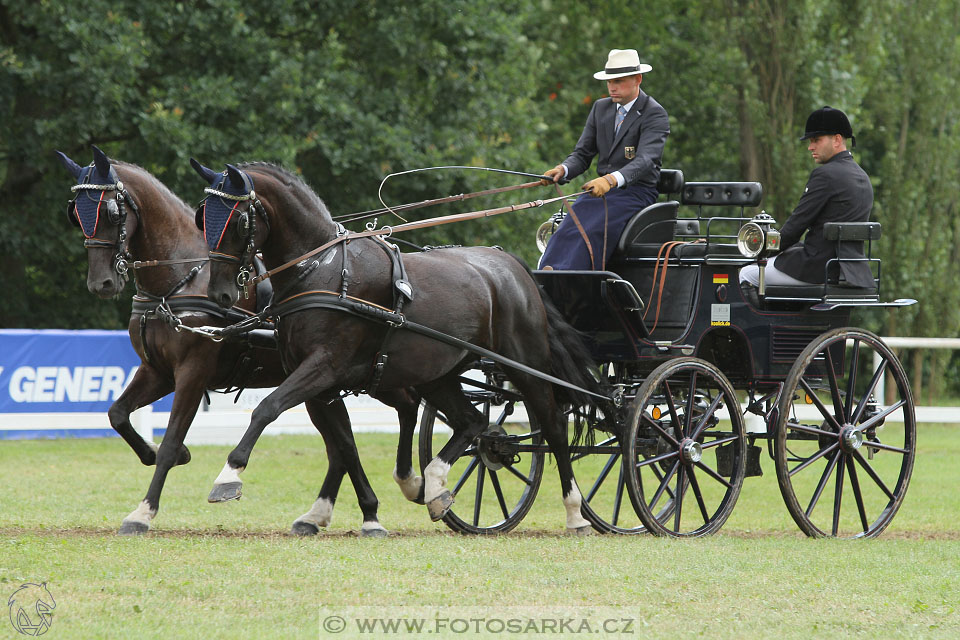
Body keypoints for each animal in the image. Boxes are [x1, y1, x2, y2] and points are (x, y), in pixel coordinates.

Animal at [57, 149, 416, 536]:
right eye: (76, 213)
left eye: (111, 211)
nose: (102, 283)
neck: (180, 280)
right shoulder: (158, 371)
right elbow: (118, 414)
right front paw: (157, 454)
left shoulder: (193, 372)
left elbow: (170, 440)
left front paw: (144, 511)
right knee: (343, 444)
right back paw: (329, 513)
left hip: (370, 373)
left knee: (403, 410)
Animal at [191, 162, 604, 532]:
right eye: (202, 218)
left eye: (238, 221)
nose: (220, 293)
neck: (322, 269)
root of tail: (513, 265)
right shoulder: (318, 382)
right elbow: (341, 443)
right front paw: (340, 512)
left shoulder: (323, 366)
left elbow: (267, 409)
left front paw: (228, 477)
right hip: (439, 373)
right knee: (472, 421)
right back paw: (433, 487)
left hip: (524, 364)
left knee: (552, 425)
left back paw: (575, 512)